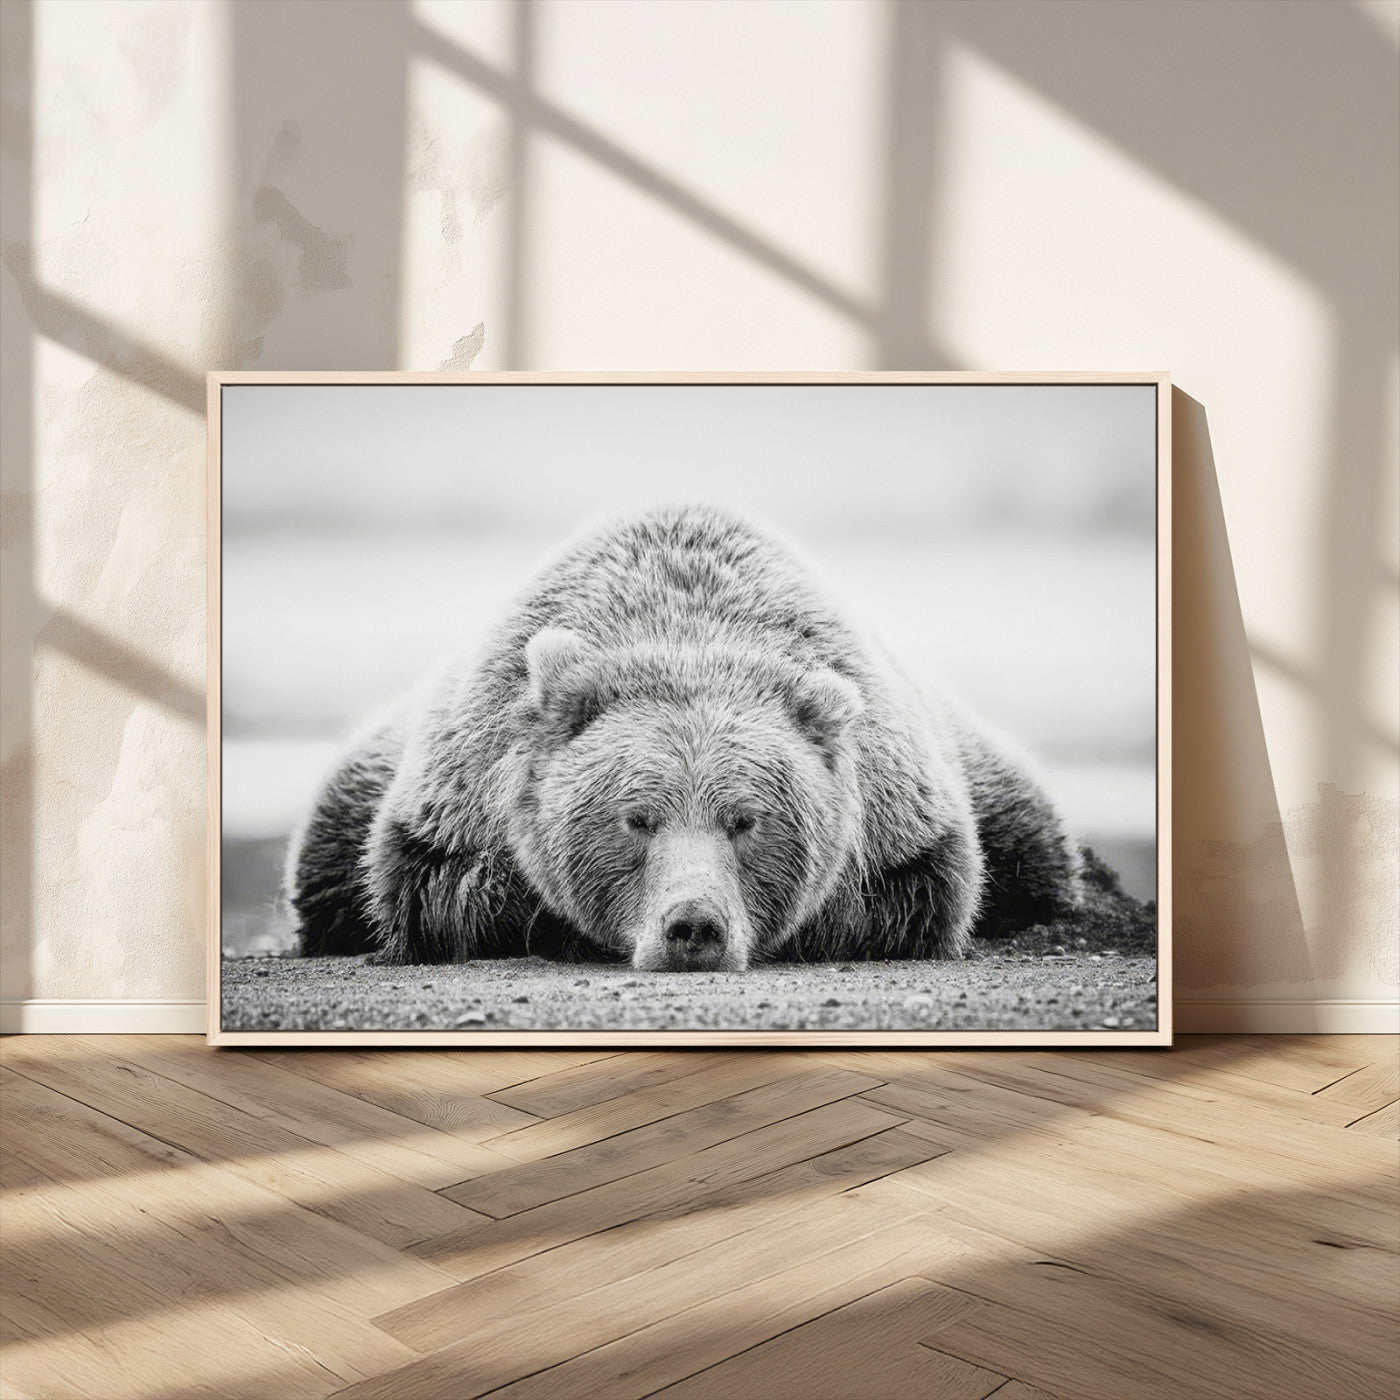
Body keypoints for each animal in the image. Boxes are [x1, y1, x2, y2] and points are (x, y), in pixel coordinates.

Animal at [286, 504, 1082, 970]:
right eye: (636, 818)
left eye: (746, 820)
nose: (693, 927)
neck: (686, 632)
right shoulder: (460, 794)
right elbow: (438, 890)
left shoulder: (901, 816)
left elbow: (916, 894)